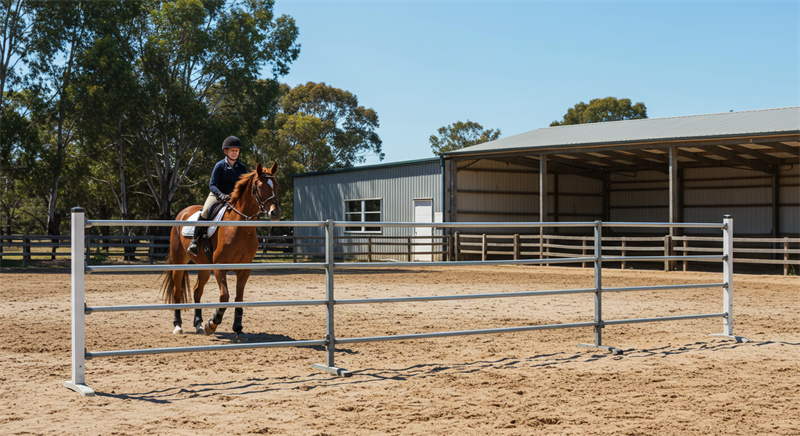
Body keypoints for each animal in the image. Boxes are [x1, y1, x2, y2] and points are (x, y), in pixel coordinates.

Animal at [159, 162, 282, 336]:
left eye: (276, 185)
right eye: (259, 186)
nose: (275, 212)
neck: (240, 228)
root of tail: (182, 212)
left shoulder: (244, 269)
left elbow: (238, 298)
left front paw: (238, 328)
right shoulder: (219, 267)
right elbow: (224, 296)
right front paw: (212, 323)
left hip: (203, 266)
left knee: (197, 291)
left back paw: (199, 324)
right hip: (179, 262)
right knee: (177, 292)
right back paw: (178, 326)